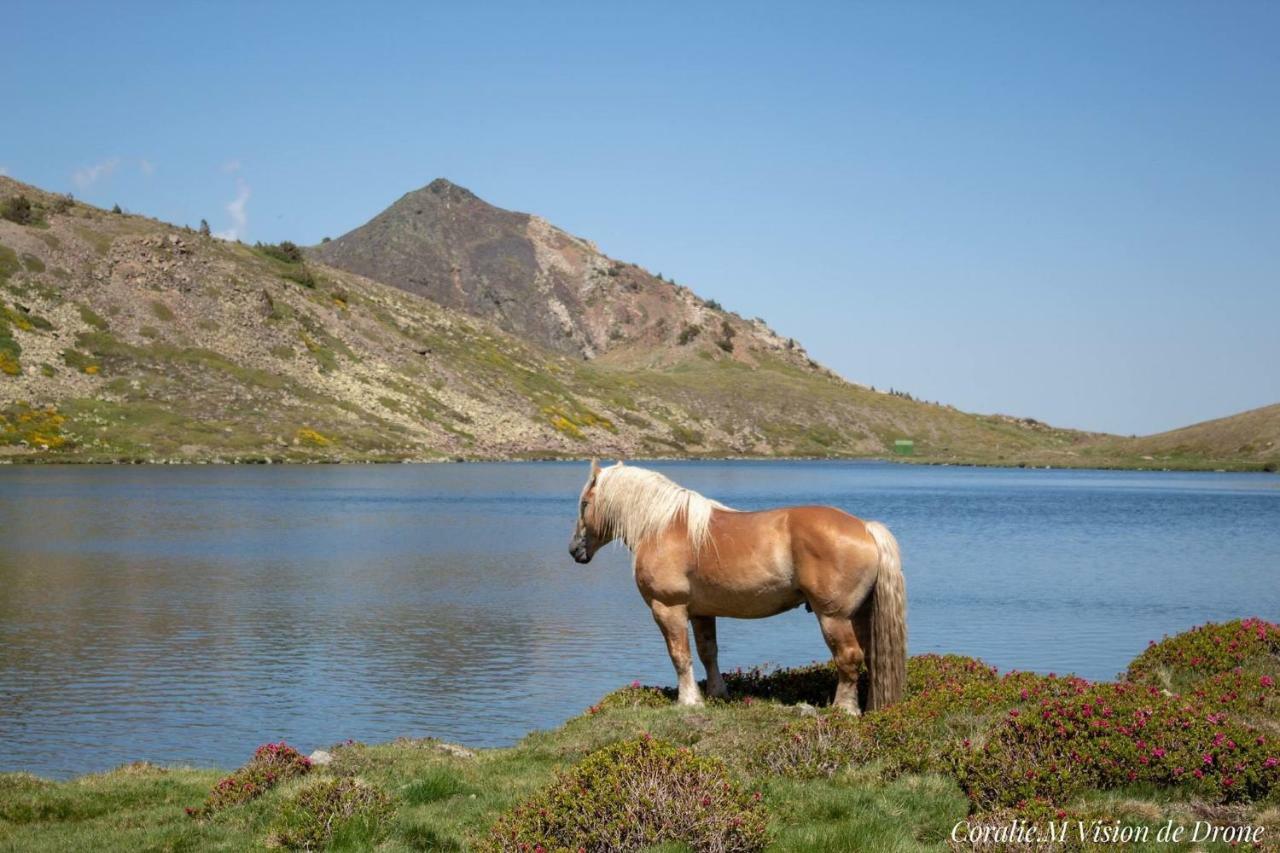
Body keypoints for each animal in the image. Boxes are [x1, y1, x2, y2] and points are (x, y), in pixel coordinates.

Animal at [565, 458, 906, 712]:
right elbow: (708, 653)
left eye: (584, 504)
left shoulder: (668, 608)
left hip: (834, 617)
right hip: (861, 614)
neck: (663, 527)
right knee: (873, 657)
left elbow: (680, 655)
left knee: (848, 657)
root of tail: (866, 528)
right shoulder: (701, 612)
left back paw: (844, 710)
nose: (574, 550)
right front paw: (717, 693)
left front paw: (689, 701)